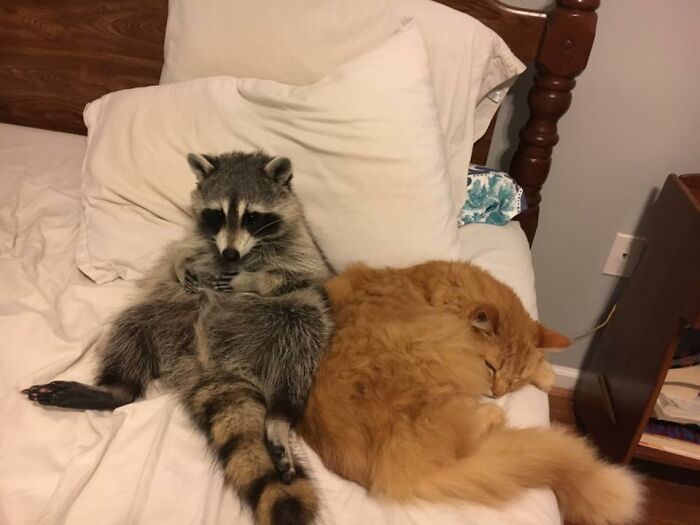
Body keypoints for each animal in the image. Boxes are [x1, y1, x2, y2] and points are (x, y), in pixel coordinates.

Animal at [22, 151, 334, 525]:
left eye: (252, 217)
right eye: (217, 214)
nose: (230, 256)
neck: (240, 252)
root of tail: (210, 365)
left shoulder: (300, 242)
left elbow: (303, 272)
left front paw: (251, 279)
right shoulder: (197, 238)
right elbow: (177, 252)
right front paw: (184, 262)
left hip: (281, 321)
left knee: (304, 329)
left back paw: (281, 414)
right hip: (170, 312)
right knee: (132, 325)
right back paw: (115, 388)